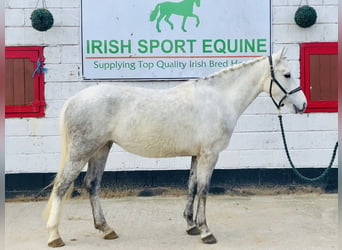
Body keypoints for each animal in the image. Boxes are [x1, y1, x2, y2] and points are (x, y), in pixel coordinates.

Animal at [43, 47, 308, 247]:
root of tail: (74, 99)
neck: (218, 99)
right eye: (287, 74)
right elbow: (204, 189)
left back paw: (106, 228)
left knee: (92, 185)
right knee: (61, 186)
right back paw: (55, 236)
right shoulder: (210, 155)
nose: (303, 104)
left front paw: (191, 225)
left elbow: (192, 186)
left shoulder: (196, 155)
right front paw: (206, 231)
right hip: (82, 151)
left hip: (101, 149)